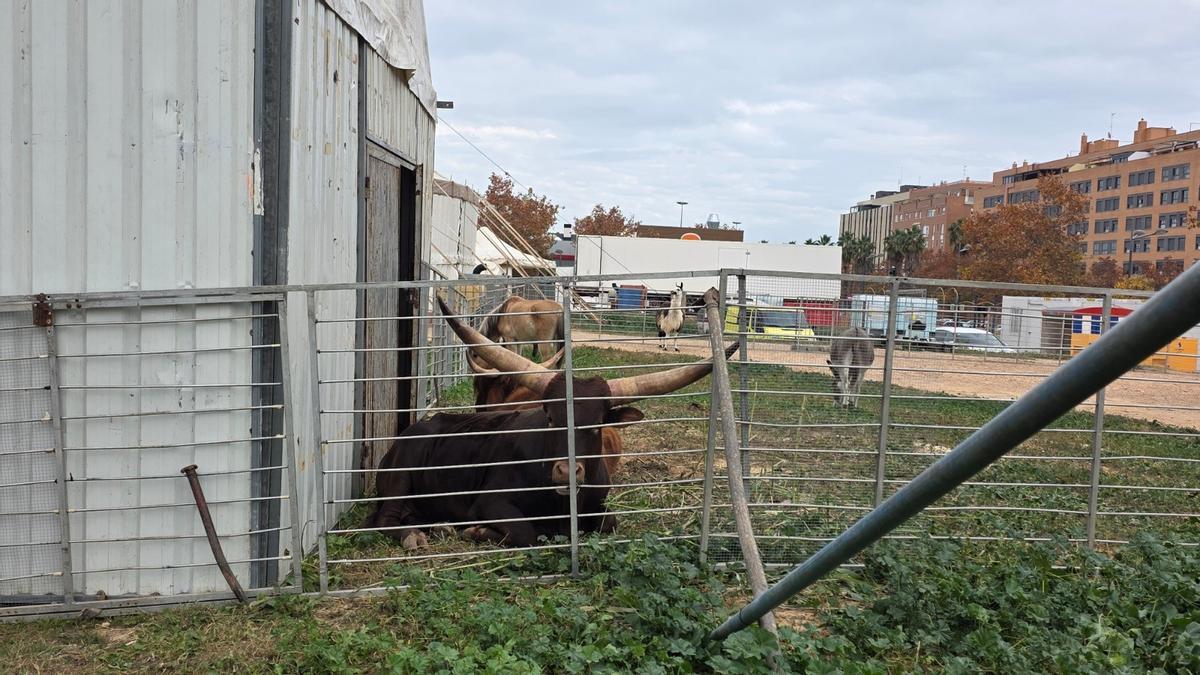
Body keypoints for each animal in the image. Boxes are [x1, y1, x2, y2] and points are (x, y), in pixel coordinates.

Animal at [366, 296, 738, 550]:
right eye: (549, 417)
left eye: (596, 424)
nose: (566, 471)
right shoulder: (489, 501)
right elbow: (527, 532)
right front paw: (480, 531)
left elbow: (609, 524)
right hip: (401, 477)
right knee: (382, 518)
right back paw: (416, 536)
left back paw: (437, 526)